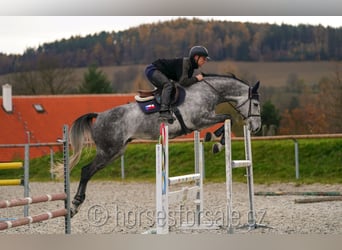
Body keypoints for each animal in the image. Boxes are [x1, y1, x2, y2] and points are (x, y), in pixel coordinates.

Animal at [54, 73, 260, 218]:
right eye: (257, 103)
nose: (256, 128)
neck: (206, 91)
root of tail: (99, 116)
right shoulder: (199, 120)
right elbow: (227, 117)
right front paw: (216, 142)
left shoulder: (202, 120)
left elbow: (226, 119)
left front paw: (215, 141)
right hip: (108, 151)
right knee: (86, 171)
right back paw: (74, 205)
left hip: (116, 151)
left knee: (88, 171)